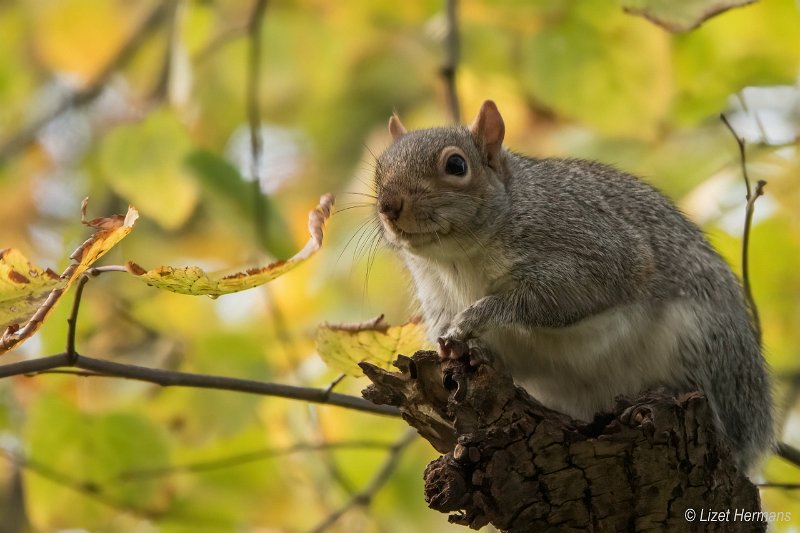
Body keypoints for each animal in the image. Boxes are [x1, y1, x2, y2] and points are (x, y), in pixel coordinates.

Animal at [376, 98, 776, 470]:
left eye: (456, 165)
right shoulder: (437, 297)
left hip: (703, 342)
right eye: (379, 169)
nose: (388, 204)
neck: (458, 261)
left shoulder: (591, 245)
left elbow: (569, 290)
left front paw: (478, 316)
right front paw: (470, 349)